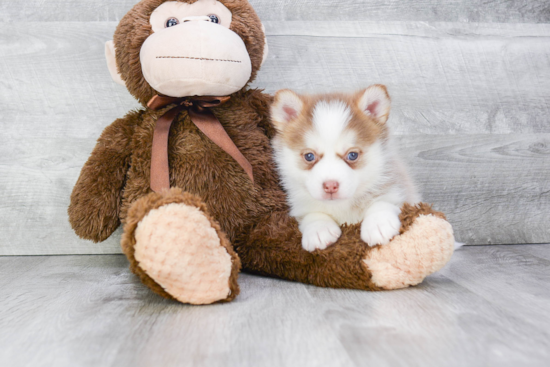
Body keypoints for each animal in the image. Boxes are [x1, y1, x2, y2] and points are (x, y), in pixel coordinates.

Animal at [272, 85, 422, 253]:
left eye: (352, 155)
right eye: (309, 156)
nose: (330, 185)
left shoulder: (398, 188)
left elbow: (383, 201)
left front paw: (378, 223)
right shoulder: (299, 203)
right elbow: (311, 213)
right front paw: (318, 229)